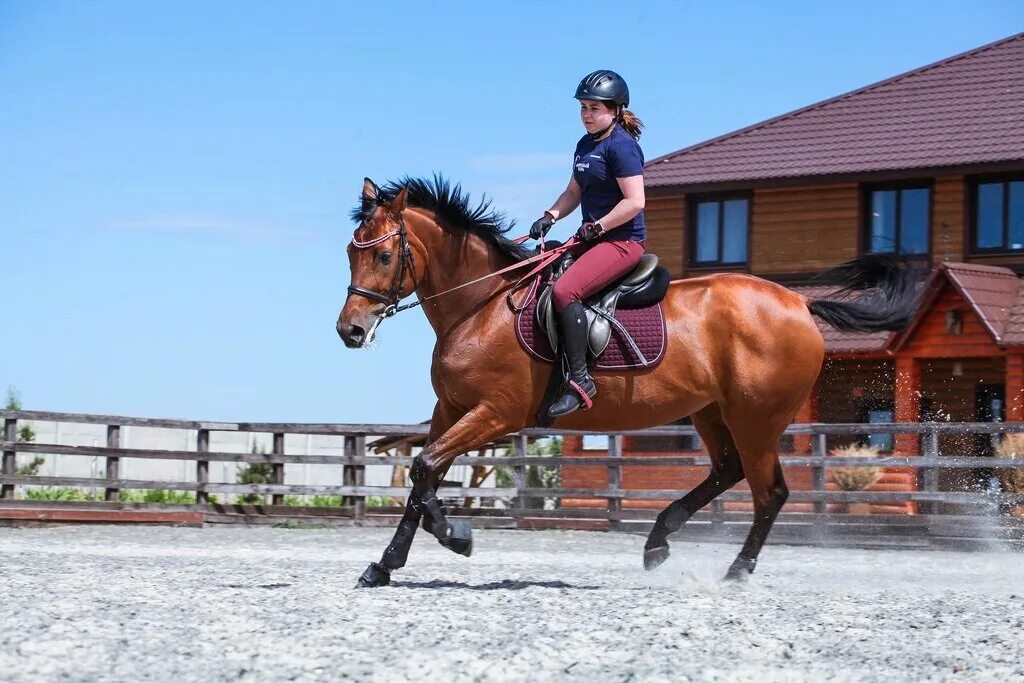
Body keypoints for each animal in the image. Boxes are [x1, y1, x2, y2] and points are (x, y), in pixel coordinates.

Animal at [337, 176, 921, 589]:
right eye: (350, 252)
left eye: (384, 255)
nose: (351, 330)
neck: (479, 306)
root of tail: (799, 303)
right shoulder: (451, 410)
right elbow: (424, 475)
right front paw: (384, 565)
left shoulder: (496, 414)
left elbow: (425, 468)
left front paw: (456, 536)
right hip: (712, 411)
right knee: (727, 470)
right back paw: (658, 541)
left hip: (757, 417)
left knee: (769, 492)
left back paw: (734, 571)